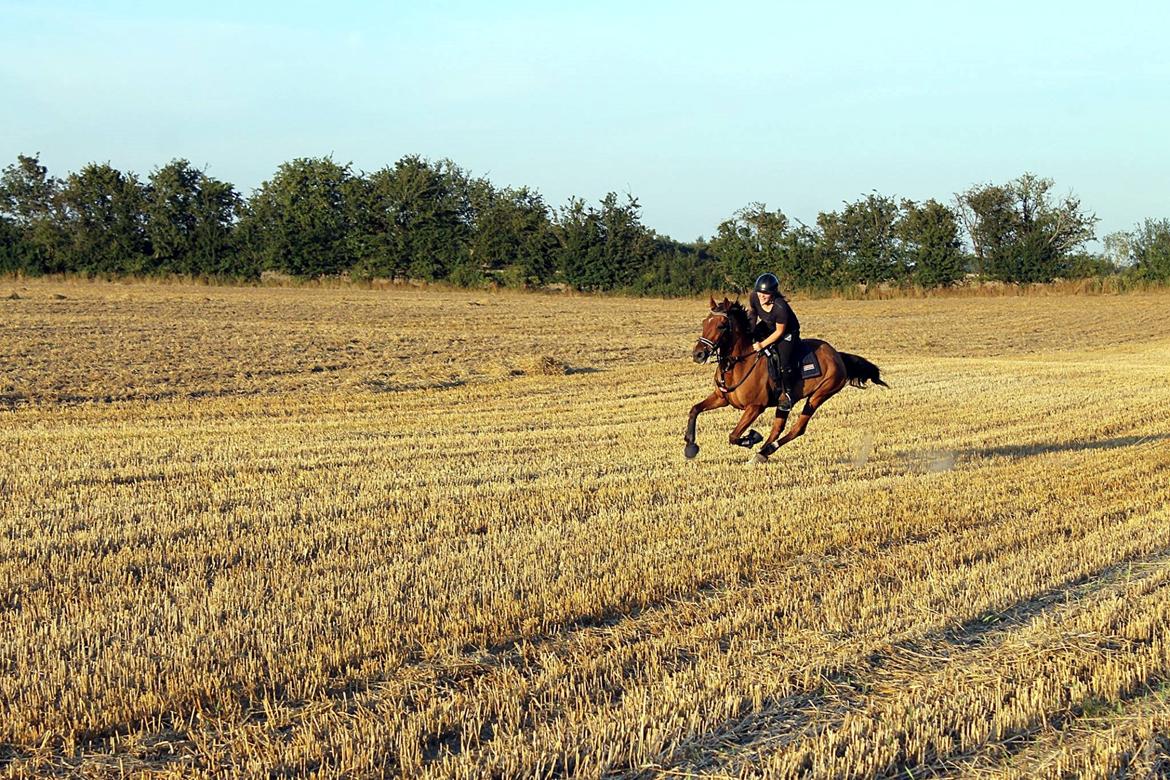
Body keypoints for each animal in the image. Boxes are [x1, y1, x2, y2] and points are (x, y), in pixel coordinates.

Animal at [683, 295, 884, 460]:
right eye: (704, 323)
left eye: (721, 325)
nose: (698, 354)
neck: (738, 363)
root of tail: (837, 355)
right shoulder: (721, 398)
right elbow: (694, 409)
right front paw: (690, 445)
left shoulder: (755, 407)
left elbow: (733, 436)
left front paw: (752, 437)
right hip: (785, 403)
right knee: (778, 428)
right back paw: (762, 453)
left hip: (819, 395)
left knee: (798, 428)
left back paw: (765, 451)